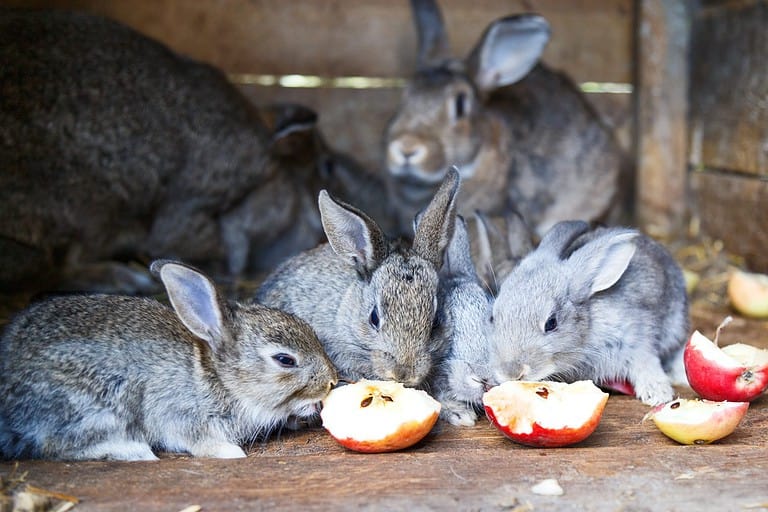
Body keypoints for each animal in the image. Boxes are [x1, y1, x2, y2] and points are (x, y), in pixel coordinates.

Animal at [0, 260, 338, 461]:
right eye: (285, 360)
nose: (331, 381)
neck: (217, 376)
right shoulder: (178, 413)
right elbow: (197, 439)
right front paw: (230, 451)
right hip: (93, 405)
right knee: (54, 443)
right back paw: (134, 451)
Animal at [487, 221, 689, 406]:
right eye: (493, 318)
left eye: (551, 323)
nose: (510, 372)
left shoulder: (636, 340)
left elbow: (646, 363)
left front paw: (657, 395)